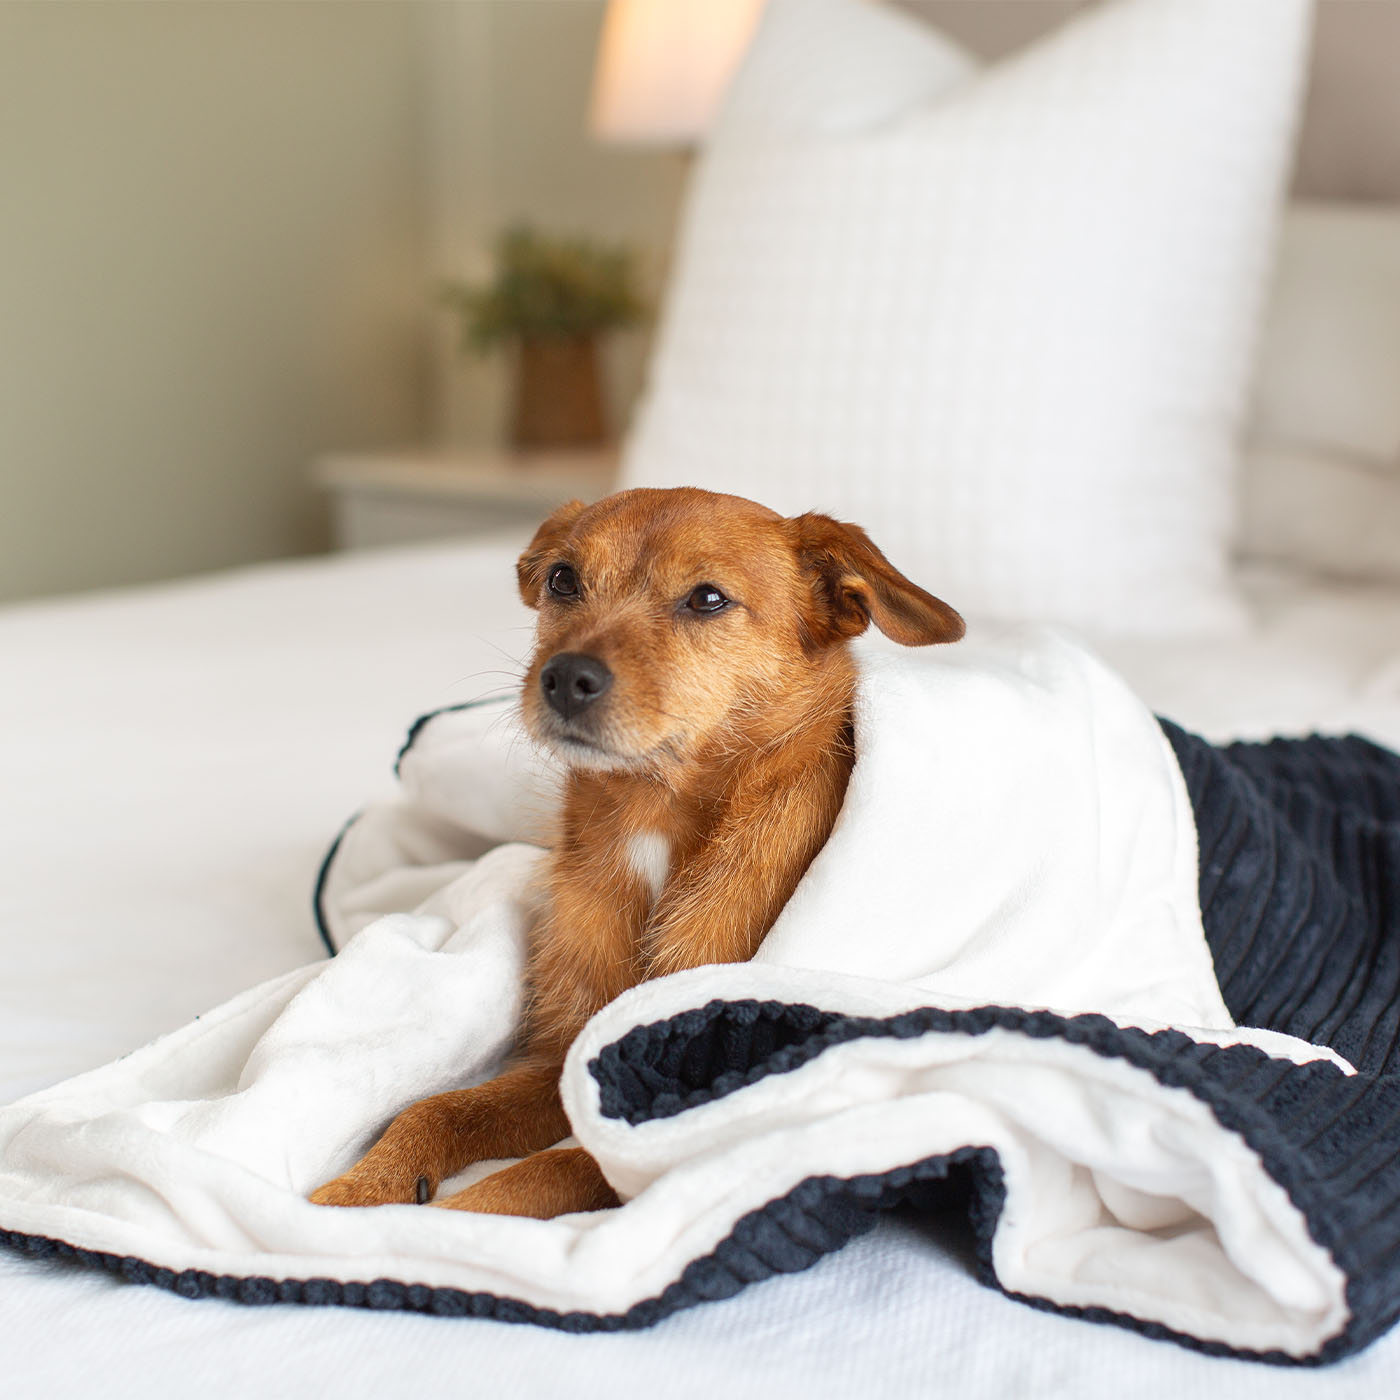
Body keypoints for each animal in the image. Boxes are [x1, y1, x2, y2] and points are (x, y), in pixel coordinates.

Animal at [312, 487, 963, 1220]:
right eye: (562, 579)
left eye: (707, 599)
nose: (565, 677)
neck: (655, 819)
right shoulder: (568, 1059)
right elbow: (438, 1110)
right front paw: (360, 1190)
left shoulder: (677, 1116)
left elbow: (541, 1174)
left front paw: (431, 1228)